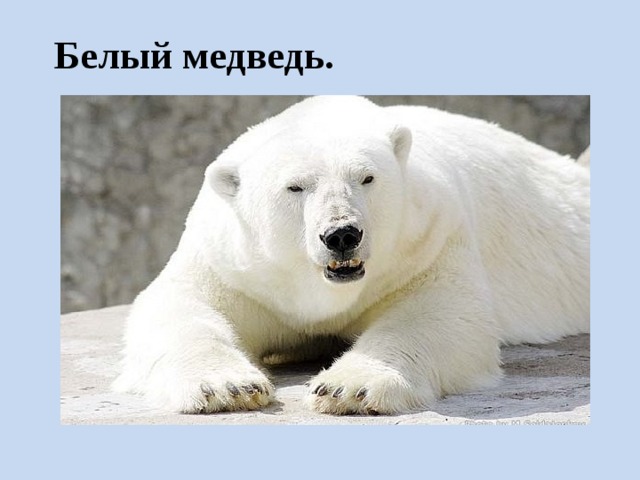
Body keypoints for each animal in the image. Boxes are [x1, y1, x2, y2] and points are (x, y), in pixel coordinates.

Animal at [113, 96, 590, 415]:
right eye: (295, 186)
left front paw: (347, 388)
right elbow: (179, 308)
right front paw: (226, 388)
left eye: (367, 177)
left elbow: (441, 314)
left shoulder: (427, 240)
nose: (342, 234)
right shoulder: (235, 266)